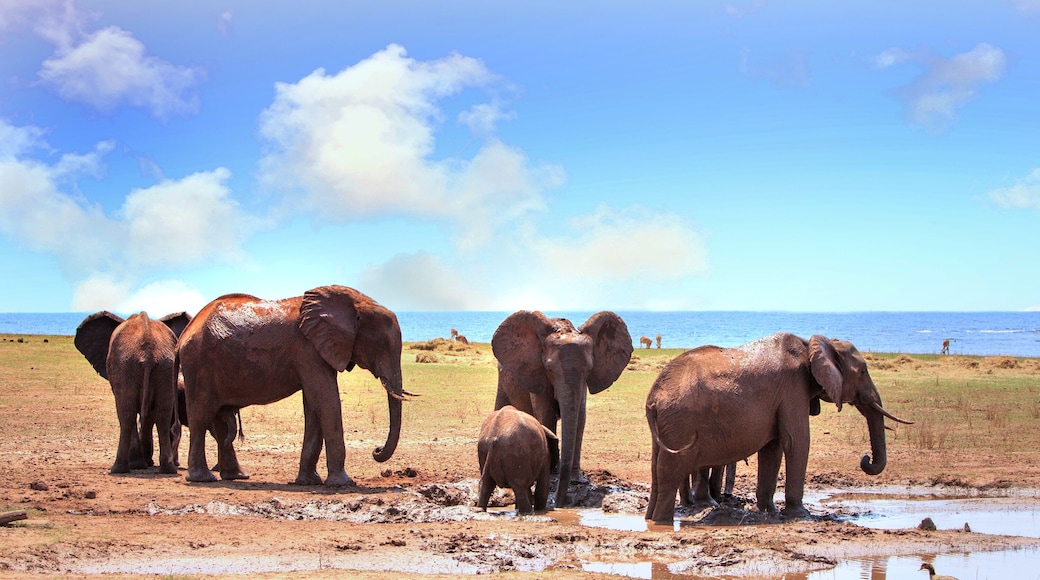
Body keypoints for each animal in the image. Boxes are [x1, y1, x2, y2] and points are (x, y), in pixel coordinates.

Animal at [75, 310, 192, 474]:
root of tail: (148, 351)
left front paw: (141, 463)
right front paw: (147, 462)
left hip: (126, 367)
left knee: (126, 415)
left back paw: (121, 468)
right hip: (166, 368)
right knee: (162, 415)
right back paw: (167, 469)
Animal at [176, 285, 411, 485]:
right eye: (382, 345)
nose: (376, 450)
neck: (354, 302)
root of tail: (185, 333)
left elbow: (314, 406)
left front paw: (309, 482)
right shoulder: (308, 350)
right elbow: (327, 401)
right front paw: (343, 483)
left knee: (218, 421)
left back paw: (236, 477)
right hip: (198, 364)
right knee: (201, 417)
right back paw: (203, 479)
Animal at [491, 310, 632, 506]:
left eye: (589, 368)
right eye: (549, 368)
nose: (557, 503)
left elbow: (580, 417)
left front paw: (577, 479)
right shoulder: (538, 373)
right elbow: (546, 414)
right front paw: (552, 476)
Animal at [645, 333, 912, 524]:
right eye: (864, 371)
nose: (865, 459)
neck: (813, 344)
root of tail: (653, 396)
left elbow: (772, 449)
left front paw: (768, 511)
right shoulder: (794, 387)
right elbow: (797, 441)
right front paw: (800, 516)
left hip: (668, 425)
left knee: (658, 468)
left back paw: (652, 519)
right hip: (681, 422)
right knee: (671, 469)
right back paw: (663, 522)